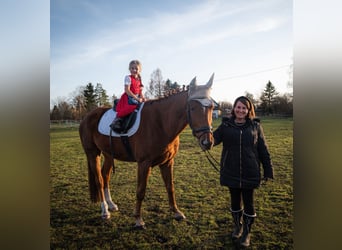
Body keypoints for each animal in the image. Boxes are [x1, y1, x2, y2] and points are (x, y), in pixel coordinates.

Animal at [79, 73, 215, 228]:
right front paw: (138, 219)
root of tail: (86, 117)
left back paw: (111, 205)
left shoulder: (168, 162)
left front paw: (176, 212)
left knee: (105, 176)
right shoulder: (144, 163)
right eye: (192, 108)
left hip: (108, 155)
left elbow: (170, 187)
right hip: (92, 153)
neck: (161, 122)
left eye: (211, 107)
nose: (207, 142)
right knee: (99, 180)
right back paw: (104, 211)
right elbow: (140, 191)